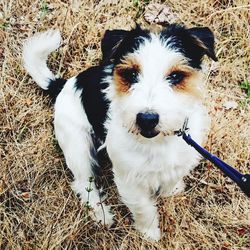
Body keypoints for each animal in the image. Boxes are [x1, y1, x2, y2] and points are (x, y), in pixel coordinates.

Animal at [22, 23, 217, 240]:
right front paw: (149, 233)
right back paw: (101, 214)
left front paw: (172, 190)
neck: (156, 142)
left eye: (176, 76)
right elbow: (143, 208)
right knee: (83, 183)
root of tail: (64, 84)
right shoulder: (129, 180)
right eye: (131, 74)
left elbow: (171, 178)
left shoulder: (181, 159)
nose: (147, 119)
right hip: (78, 147)